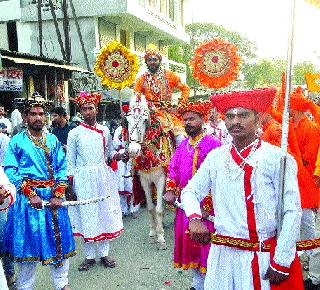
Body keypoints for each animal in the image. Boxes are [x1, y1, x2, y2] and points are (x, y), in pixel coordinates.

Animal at [125, 94, 168, 249]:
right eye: (127, 120)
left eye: (145, 120)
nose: (133, 150)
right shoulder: (144, 180)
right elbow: (150, 208)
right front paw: (153, 232)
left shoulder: (161, 178)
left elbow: (159, 209)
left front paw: (161, 238)